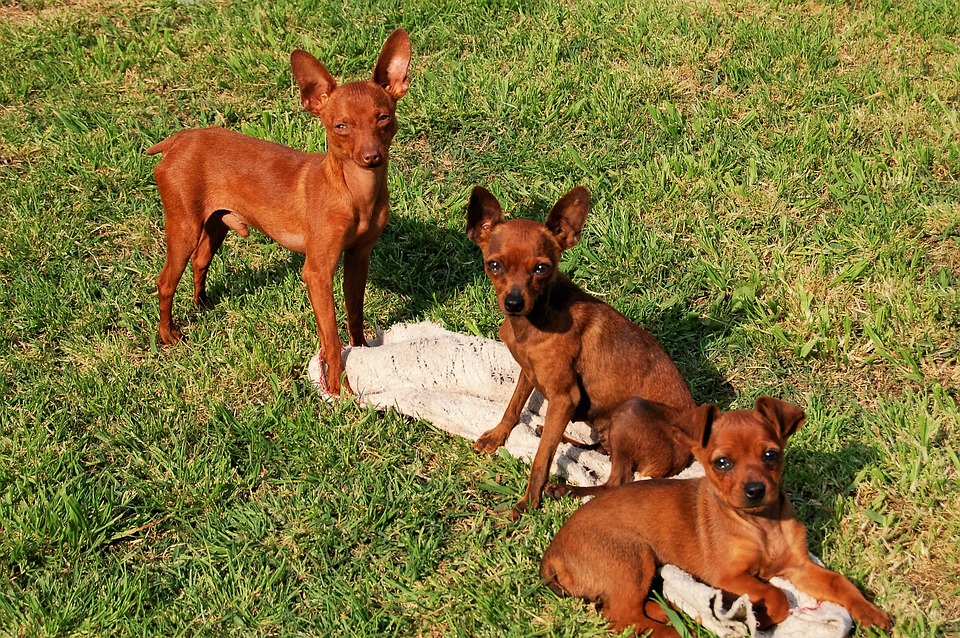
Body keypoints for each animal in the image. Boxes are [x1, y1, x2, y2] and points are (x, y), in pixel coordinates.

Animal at [148, 31, 410, 400]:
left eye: (383, 118)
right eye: (340, 126)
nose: (371, 156)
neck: (354, 192)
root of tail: (178, 139)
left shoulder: (359, 258)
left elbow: (354, 316)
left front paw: (362, 358)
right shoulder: (317, 273)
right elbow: (331, 339)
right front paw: (336, 387)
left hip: (214, 224)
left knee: (200, 261)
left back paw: (201, 305)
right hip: (184, 227)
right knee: (166, 281)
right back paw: (168, 334)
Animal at [468, 186, 692, 520]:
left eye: (541, 268)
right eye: (494, 265)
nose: (514, 303)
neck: (534, 321)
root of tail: (689, 453)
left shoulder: (564, 397)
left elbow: (541, 459)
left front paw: (529, 502)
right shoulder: (528, 372)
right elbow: (513, 406)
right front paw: (498, 435)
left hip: (631, 411)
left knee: (616, 482)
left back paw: (567, 489)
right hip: (608, 426)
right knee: (596, 449)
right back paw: (556, 435)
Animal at [540, 398, 892, 636]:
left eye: (771, 455)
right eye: (722, 463)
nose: (755, 490)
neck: (762, 526)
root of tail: (552, 555)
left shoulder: (800, 567)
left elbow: (839, 582)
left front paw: (870, 613)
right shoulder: (729, 575)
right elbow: (776, 593)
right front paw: (760, 616)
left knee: (626, 609)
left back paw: (669, 612)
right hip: (634, 558)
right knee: (622, 617)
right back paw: (676, 631)